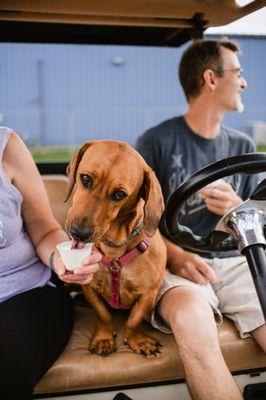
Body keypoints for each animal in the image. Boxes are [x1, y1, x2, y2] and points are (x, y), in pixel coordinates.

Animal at [65, 140, 165, 356]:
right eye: (85, 179)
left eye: (119, 194)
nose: (79, 233)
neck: (115, 251)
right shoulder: (90, 288)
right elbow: (103, 315)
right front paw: (103, 338)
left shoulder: (148, 295)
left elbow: (134, 321)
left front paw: (137, 340)